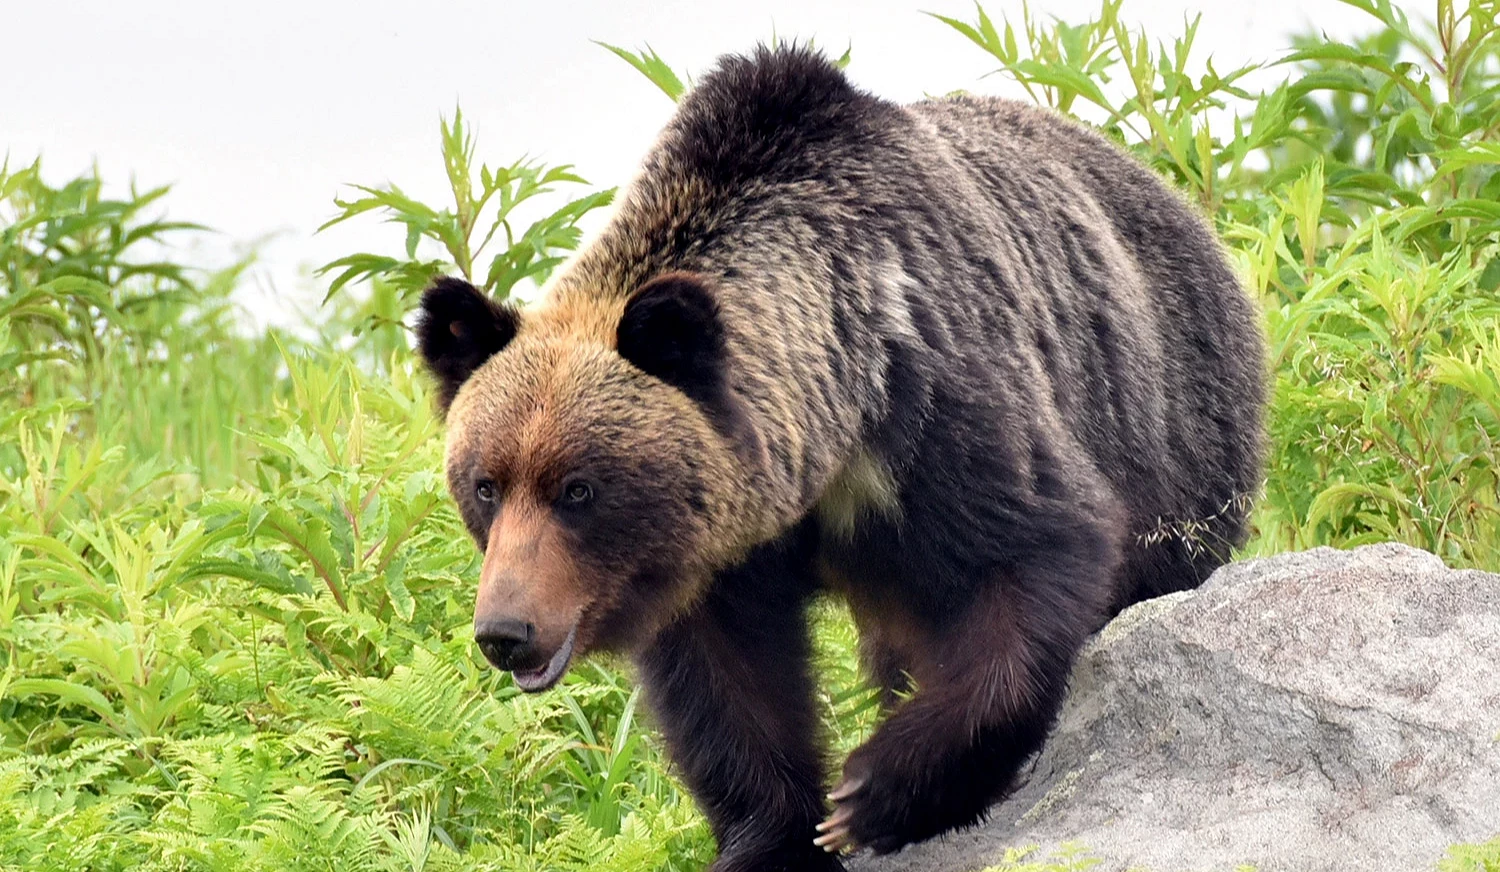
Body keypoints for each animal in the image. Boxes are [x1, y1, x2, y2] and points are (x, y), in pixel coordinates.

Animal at [415, 45, 1265, 871]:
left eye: (579, 489)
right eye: (486, 485)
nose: (505, 631)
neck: (831, 443)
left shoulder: (935, 410)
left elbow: (1032, 556)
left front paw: (873, 795)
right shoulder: (722, 549)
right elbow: (730, 686)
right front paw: (772, 838)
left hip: (1177, 429)